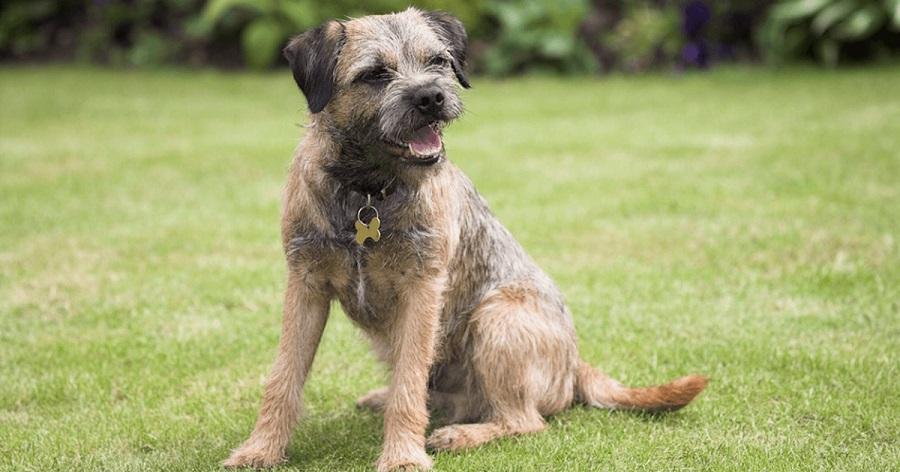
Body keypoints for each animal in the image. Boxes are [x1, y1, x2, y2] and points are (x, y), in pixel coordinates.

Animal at [221, 8, 708, 472]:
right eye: (375, 73)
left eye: (437, 62)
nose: (430, 97)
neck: (367, 192)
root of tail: (574, 365)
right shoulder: (305, 285)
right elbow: (284, 377)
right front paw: (260, 450)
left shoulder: (422, 288)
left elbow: (410, 382)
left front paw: (403, 456)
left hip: (496, 318)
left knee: (523, 420)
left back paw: (460, 434)